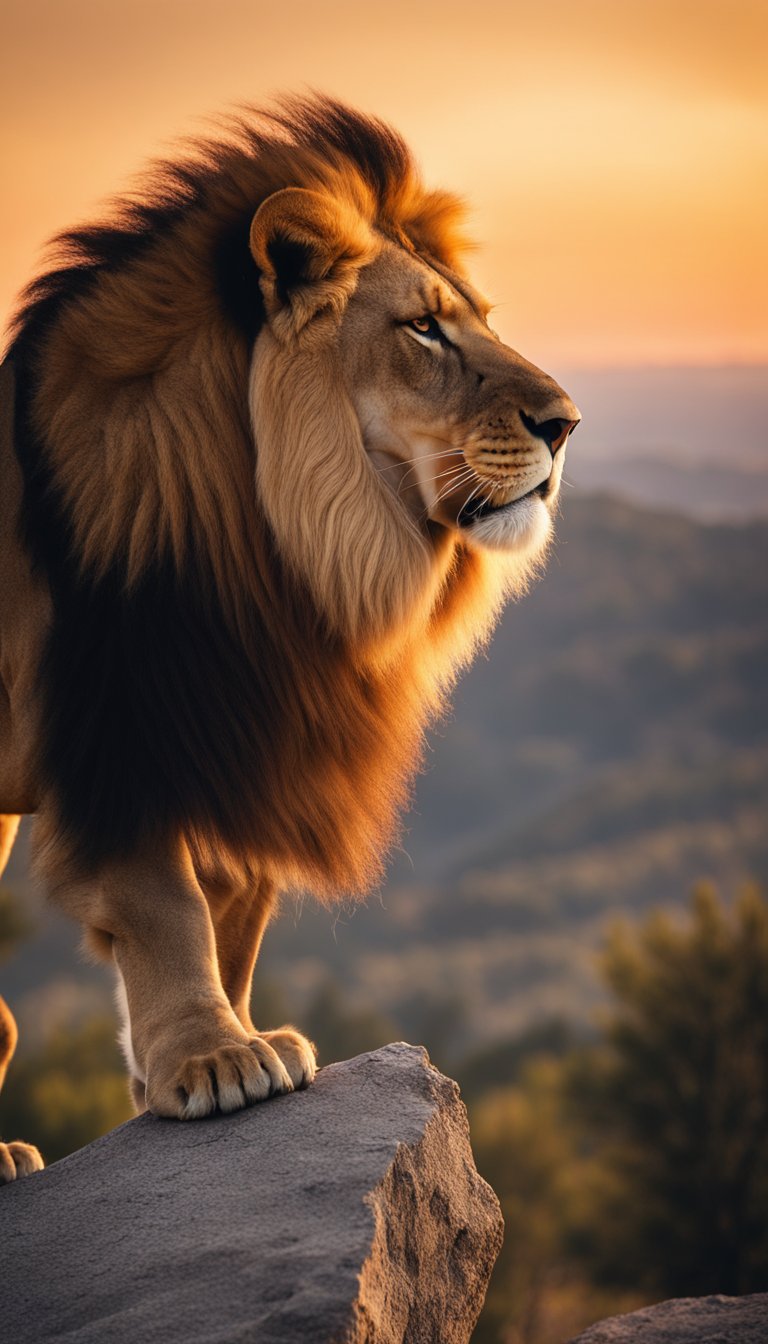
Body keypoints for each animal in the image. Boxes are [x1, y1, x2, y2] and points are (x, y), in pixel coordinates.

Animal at [0, 95, 579, 1178]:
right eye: (423, 328)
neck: (285, 550)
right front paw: (214, 1059)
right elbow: (164, 898)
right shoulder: (125, 729)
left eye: (481, 319)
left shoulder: (260, 731)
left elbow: (234, 916)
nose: (566, 423)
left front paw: (190, 1062)